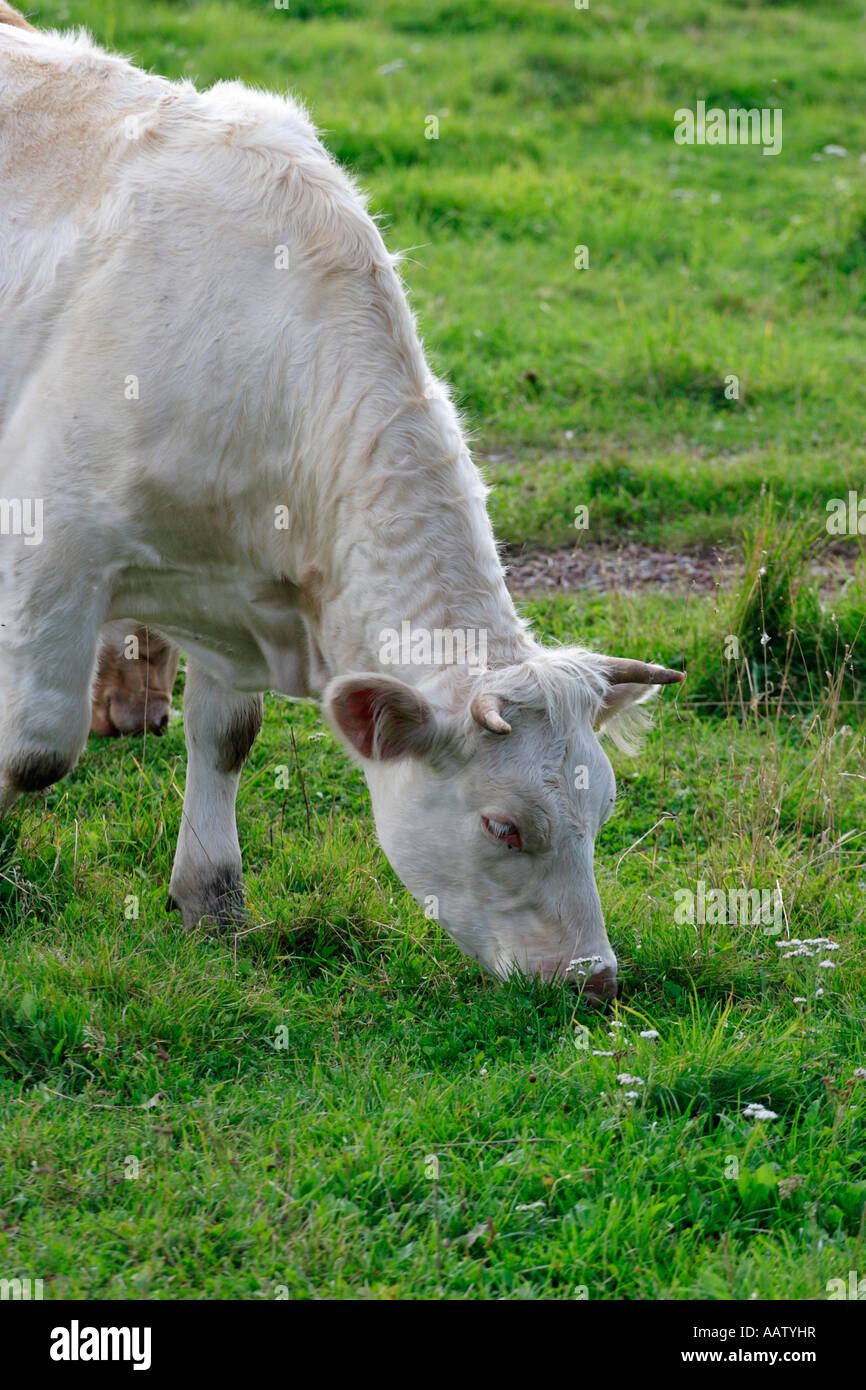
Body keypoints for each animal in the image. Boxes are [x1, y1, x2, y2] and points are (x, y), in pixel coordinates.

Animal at [0, 8, 684, 1001]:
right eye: (504, 826)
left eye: (602, 815)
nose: (592, 977)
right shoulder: (53, 543)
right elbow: (35, 750)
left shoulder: (232, 587)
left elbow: (227, 735)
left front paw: (212, 900)